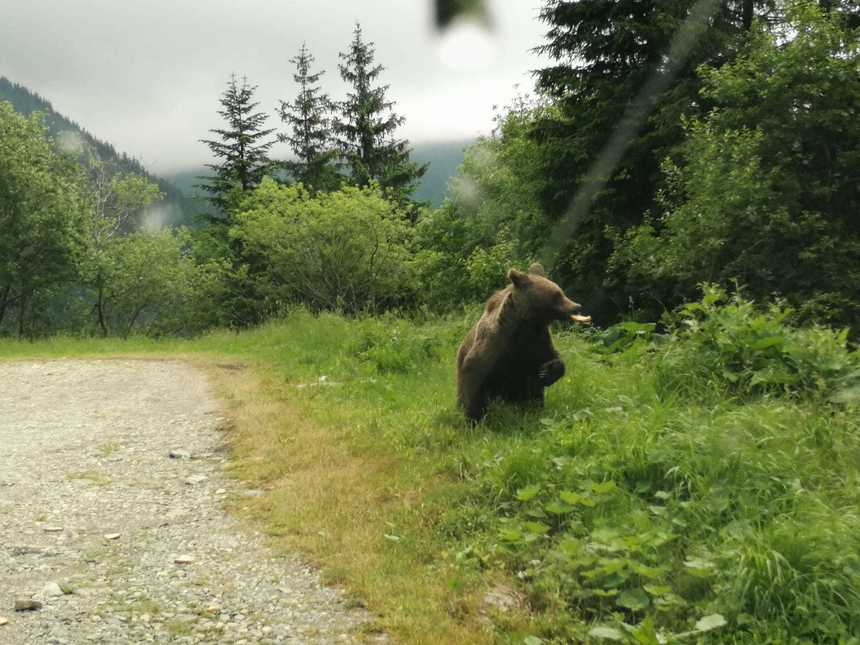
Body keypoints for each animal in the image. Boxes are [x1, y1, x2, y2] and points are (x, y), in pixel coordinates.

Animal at [456, 262, 592, 422]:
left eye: (560, 291)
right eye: (557, 294)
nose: (577, 306)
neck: (525, 325)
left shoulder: (537, 341)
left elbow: (551, 359)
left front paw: (547, 372)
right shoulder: (495, 343)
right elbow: (474, 373)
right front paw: (474, 417)